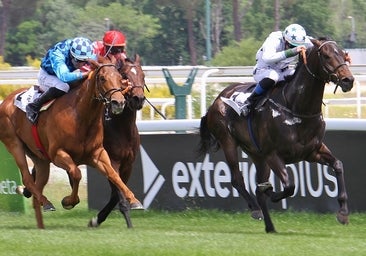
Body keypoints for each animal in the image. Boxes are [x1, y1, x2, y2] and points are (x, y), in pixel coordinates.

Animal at [0, 55, 139, 228]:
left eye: (121, 78)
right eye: (102, 78)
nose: (118, 102)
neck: (80, 116)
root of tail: (6, 100)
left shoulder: (98, 154)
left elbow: (114, 175)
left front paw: (133, 199)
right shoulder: (58, 154)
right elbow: (77, 174)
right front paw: (68, 201)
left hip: (40, 158)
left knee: (37, 186)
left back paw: (41, 223)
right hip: (14, 144)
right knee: (27, 178)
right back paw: (47, 203)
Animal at [88, 55, 146, 227]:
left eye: (143, 75)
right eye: (125, 77)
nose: (138, 99)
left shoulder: (128, 164)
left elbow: (117, 191)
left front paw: (96, 219)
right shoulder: (112, 161)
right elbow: (118, 191)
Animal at [199, 37, 354, 232]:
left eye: (343, 54)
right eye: (326, 56)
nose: (348, 80)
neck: (296, 108)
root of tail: (216, 101)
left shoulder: (313, 151)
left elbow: (338, 165)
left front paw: (343, 213)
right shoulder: (273, 154)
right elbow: (289, 186)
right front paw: (270, 192)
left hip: (257, 155)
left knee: (256, 186)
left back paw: (270, 226)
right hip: (229, 142)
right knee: (237, 179)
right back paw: (256, 209)